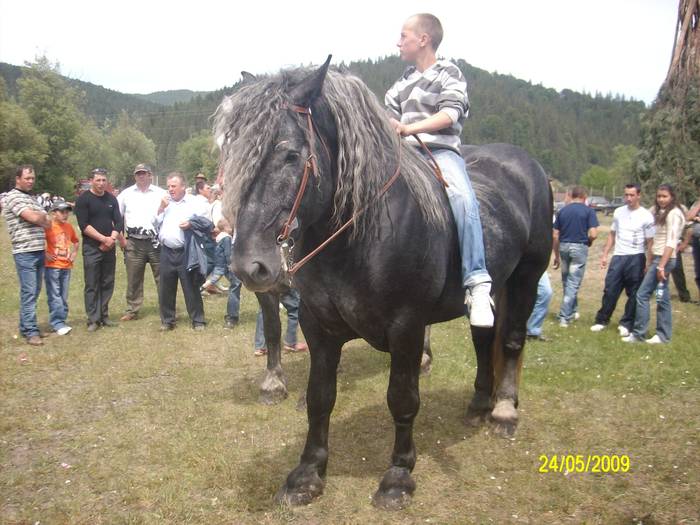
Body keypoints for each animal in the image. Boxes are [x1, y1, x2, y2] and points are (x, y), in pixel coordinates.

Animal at [213, 57, 552, 508]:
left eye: (290, 154)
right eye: (230, 152)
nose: (251, 266)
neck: (361, 233)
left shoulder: (406, 327)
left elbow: (403, 399)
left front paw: (397, 477)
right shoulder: (319, 327)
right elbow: (319, 397)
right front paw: (307, 474)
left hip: (527, 276)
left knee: (511, 340)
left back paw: (503, 411)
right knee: (485, 339)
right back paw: (480, 403)